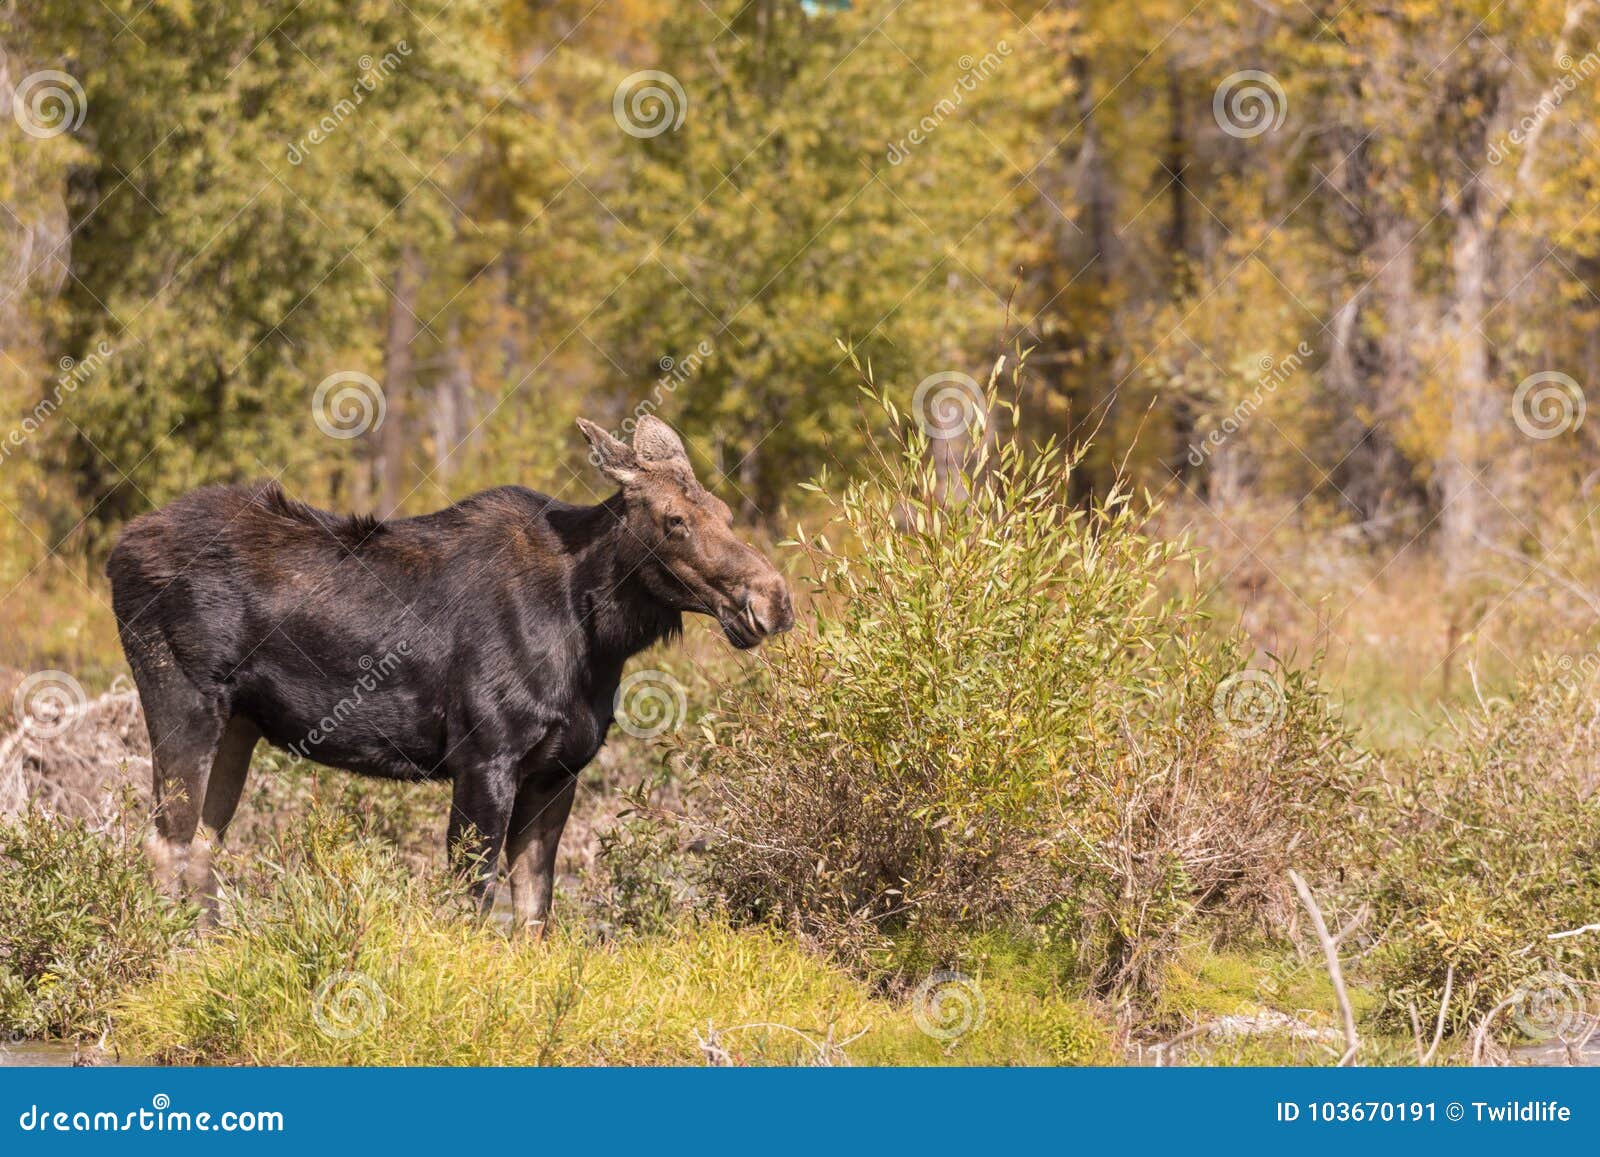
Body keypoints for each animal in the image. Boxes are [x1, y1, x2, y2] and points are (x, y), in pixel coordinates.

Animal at [106, 415, 793, 934]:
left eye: (726, 512)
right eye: (675, 520)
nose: (774, 599)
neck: (595, 631)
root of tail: (115, 553)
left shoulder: (557, 771)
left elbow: (535, 914)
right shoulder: (483, 758)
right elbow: (473, 900)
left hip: (241, 724)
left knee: (202, 842)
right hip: (182, 696)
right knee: (165, 839)